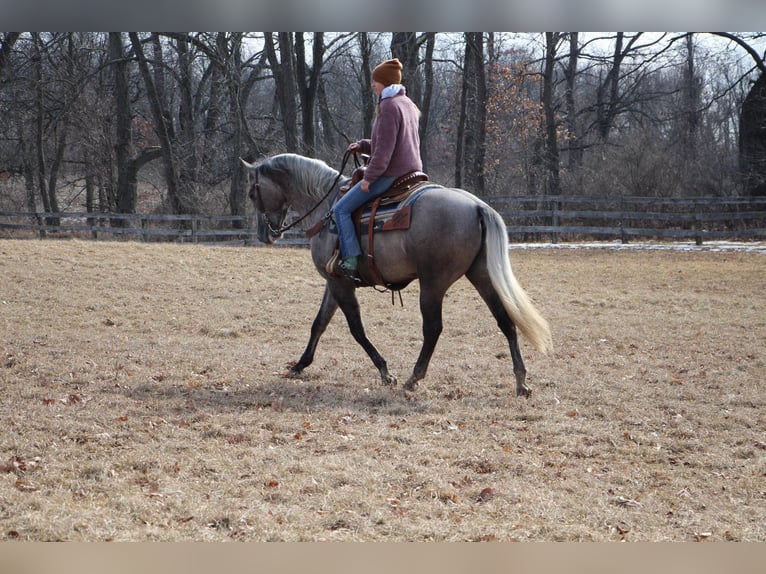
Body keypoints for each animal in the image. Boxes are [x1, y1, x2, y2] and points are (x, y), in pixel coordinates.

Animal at [240, 151, 552, 398]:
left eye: (252, 193)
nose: (265, 235)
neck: (326, 208)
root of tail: (477, 206)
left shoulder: (341, 283)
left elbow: (356, 328)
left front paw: (385, 372)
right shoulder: (333, 282)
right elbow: (319, 323)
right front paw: (299, 365)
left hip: (433, 284)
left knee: (433, 328)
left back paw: (414, 378)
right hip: (482, 275)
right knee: (506, 321)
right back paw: (521, 382)